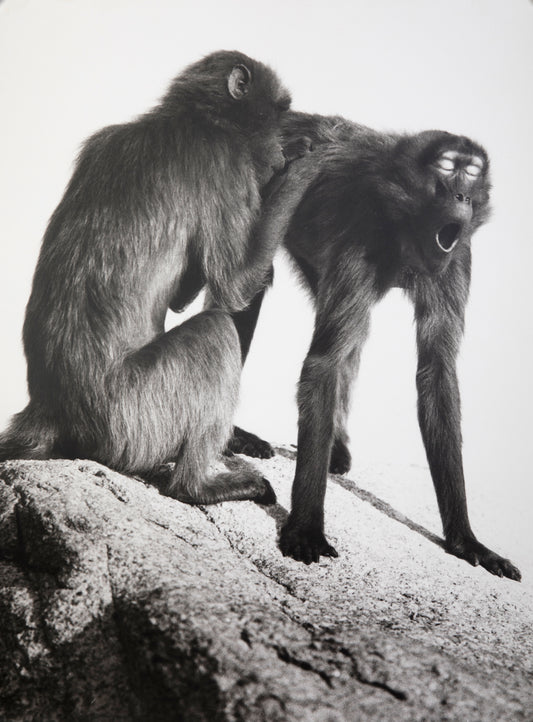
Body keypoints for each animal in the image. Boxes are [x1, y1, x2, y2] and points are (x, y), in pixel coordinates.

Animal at [0, 51, 295, 506]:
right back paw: (196, 485)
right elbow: (235, 284)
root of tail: (49, 410)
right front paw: (304, 171)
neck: (191, 118)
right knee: (215, 330)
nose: (281, 150)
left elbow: (187, 296)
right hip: (136, 420)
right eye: (279, 114)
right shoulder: (225, 162)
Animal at [228, 111, 521, 580]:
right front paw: (307, 525)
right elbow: (324, 363)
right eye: (447, 167)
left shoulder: (458, 255)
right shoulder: (361, 232)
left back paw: (335, 444)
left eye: (472, 172)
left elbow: (436, 373)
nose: (461, 194)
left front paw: (465, 539)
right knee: (251, 282)